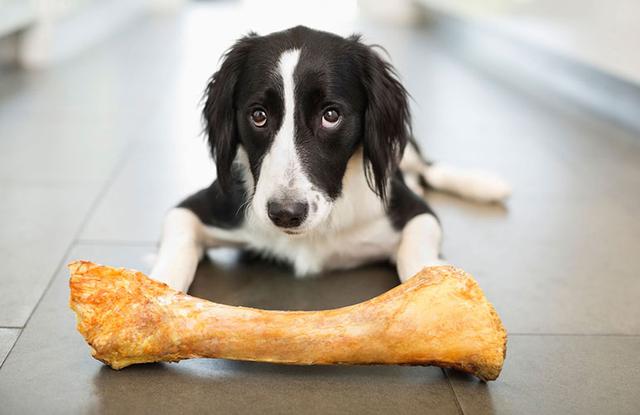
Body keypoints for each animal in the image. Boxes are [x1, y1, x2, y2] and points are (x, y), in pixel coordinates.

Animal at [151, 26, 510, 292]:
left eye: (331, 115)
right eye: (258, 115)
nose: (286, 214)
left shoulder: (416, 212)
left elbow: (415, 251)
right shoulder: (197, 208)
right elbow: (176, 246)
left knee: (428, 168)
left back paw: (484, 185)